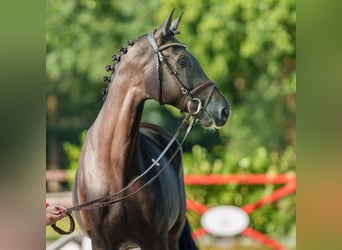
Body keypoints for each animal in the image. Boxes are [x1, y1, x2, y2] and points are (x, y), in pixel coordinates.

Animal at [73, 10, 230, 250]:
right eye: (182, 60)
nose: (223, 109)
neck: (114, 171)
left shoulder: (156, 240)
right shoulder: (101, 243)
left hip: (173, 236)